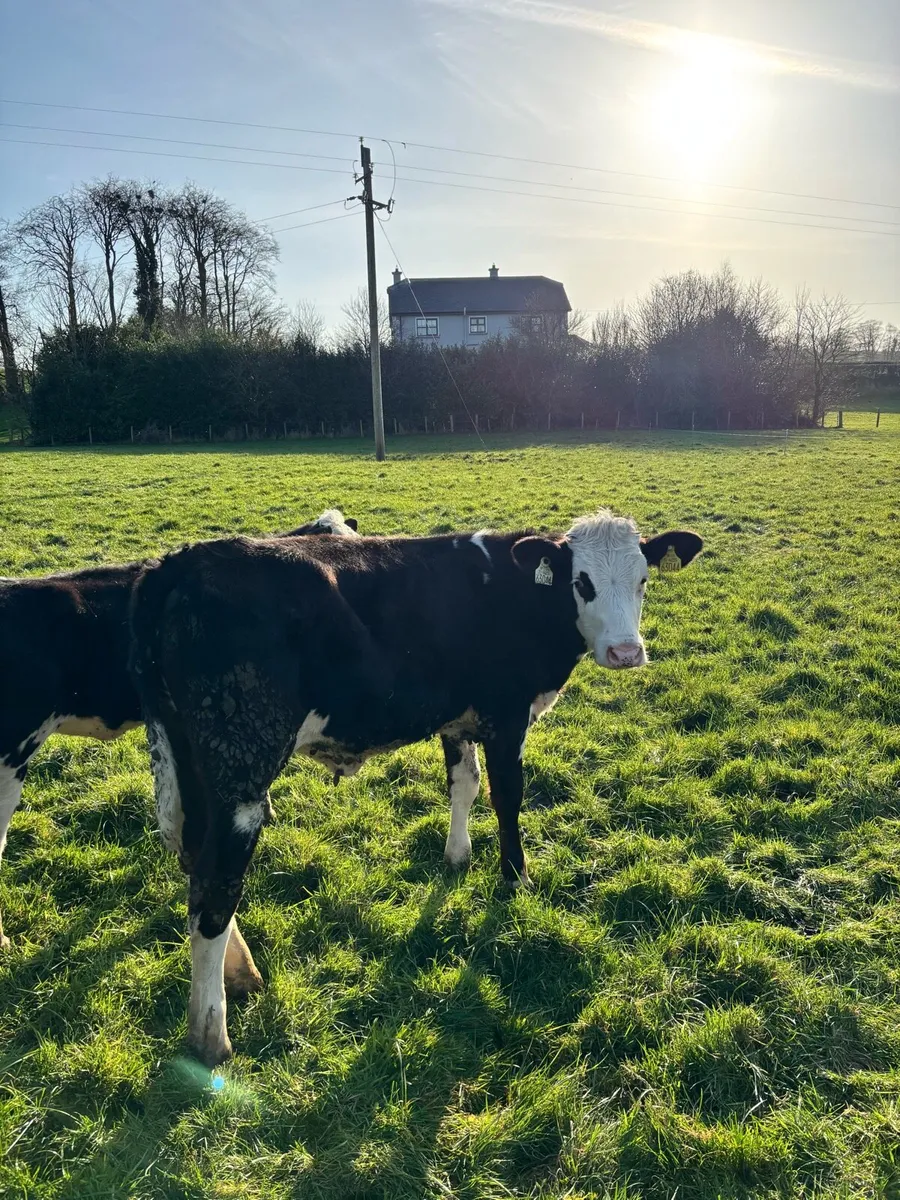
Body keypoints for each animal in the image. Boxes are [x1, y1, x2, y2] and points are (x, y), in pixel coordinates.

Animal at [129, 511, 703, 1064]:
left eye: (644, 579)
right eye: (581, 582)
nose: (626, 652)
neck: (515, 593)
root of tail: (181, 562)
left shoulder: (459, 719)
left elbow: (465, 785)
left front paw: (458, 855)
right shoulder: (506, 715)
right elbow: (507, 797)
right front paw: (515, 878)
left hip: (189, 760)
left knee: (194, 860)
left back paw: (240, 971)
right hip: (241, 765)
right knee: (215, 890)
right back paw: (211, 1034)